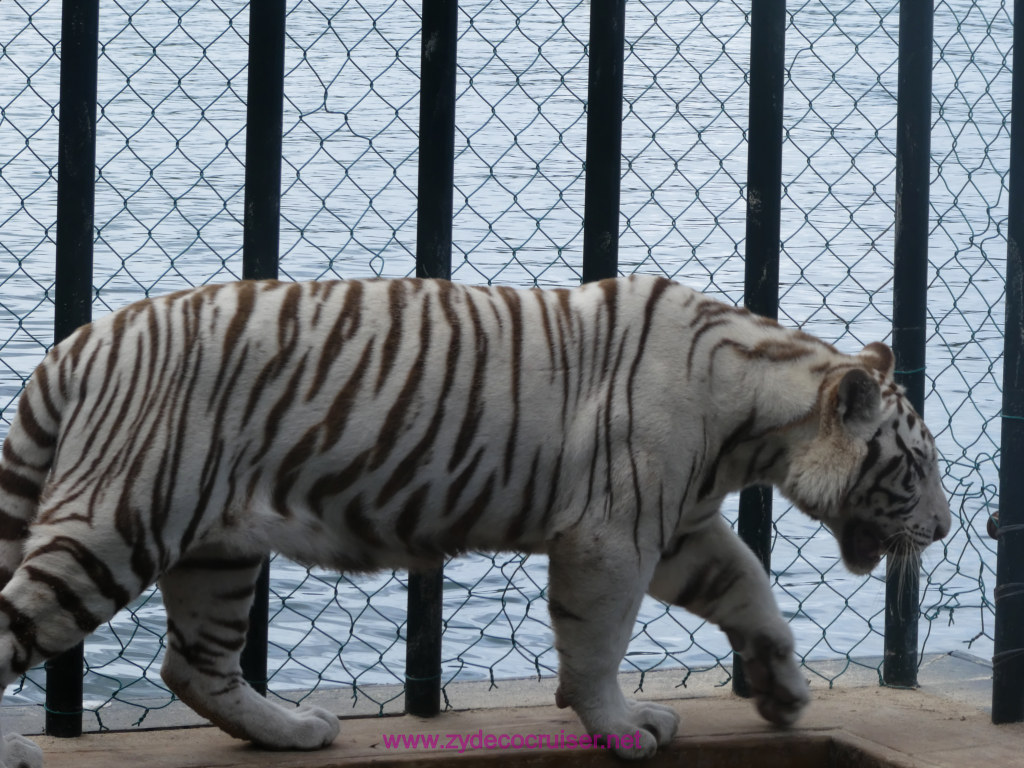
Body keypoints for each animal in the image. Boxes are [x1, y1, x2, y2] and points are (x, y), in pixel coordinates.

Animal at [0, 274, 950, 765]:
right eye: (920, 466)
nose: (943, 530)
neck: (757, 411)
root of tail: (75, 345)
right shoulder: (615, 535)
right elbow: (598, 644)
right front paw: (619, 727)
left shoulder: (679, 527)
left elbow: (751, 590)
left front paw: (784, 693)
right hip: (115, 524)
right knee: (25, 621)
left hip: (219, 550)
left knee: (195, 664)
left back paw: (295, 731)